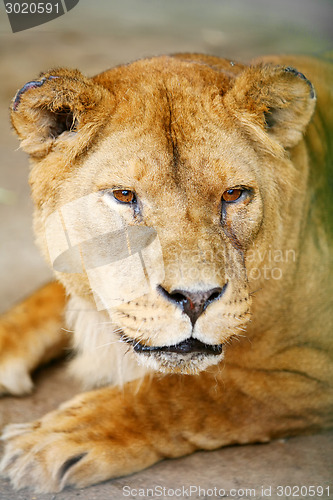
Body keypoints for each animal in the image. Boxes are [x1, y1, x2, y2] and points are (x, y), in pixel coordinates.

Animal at [0, 53, 332, 492]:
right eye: (124, 195)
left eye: (233, 194)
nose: (195, 299)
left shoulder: (310, 370)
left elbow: (183, 394)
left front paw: (54, 439)